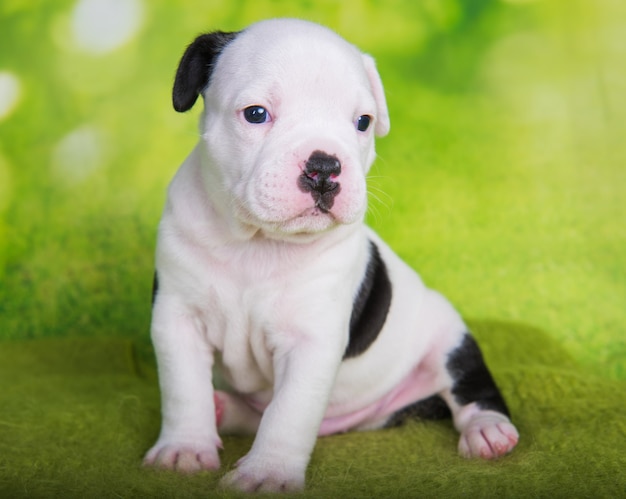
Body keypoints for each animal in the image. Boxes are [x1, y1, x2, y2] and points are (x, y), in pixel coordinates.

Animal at [144, 17, 520, 494]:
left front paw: (267, 473)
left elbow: (288, 413)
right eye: (256, 114)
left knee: (470, 388)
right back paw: (222, 409)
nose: (324, 166)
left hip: (449, 337)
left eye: (363, 122)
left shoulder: (311, 340)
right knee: (254, 412)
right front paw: (186, 449)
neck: (257, 243)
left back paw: (488, 430)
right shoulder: (178, 318)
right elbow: (183, 390)